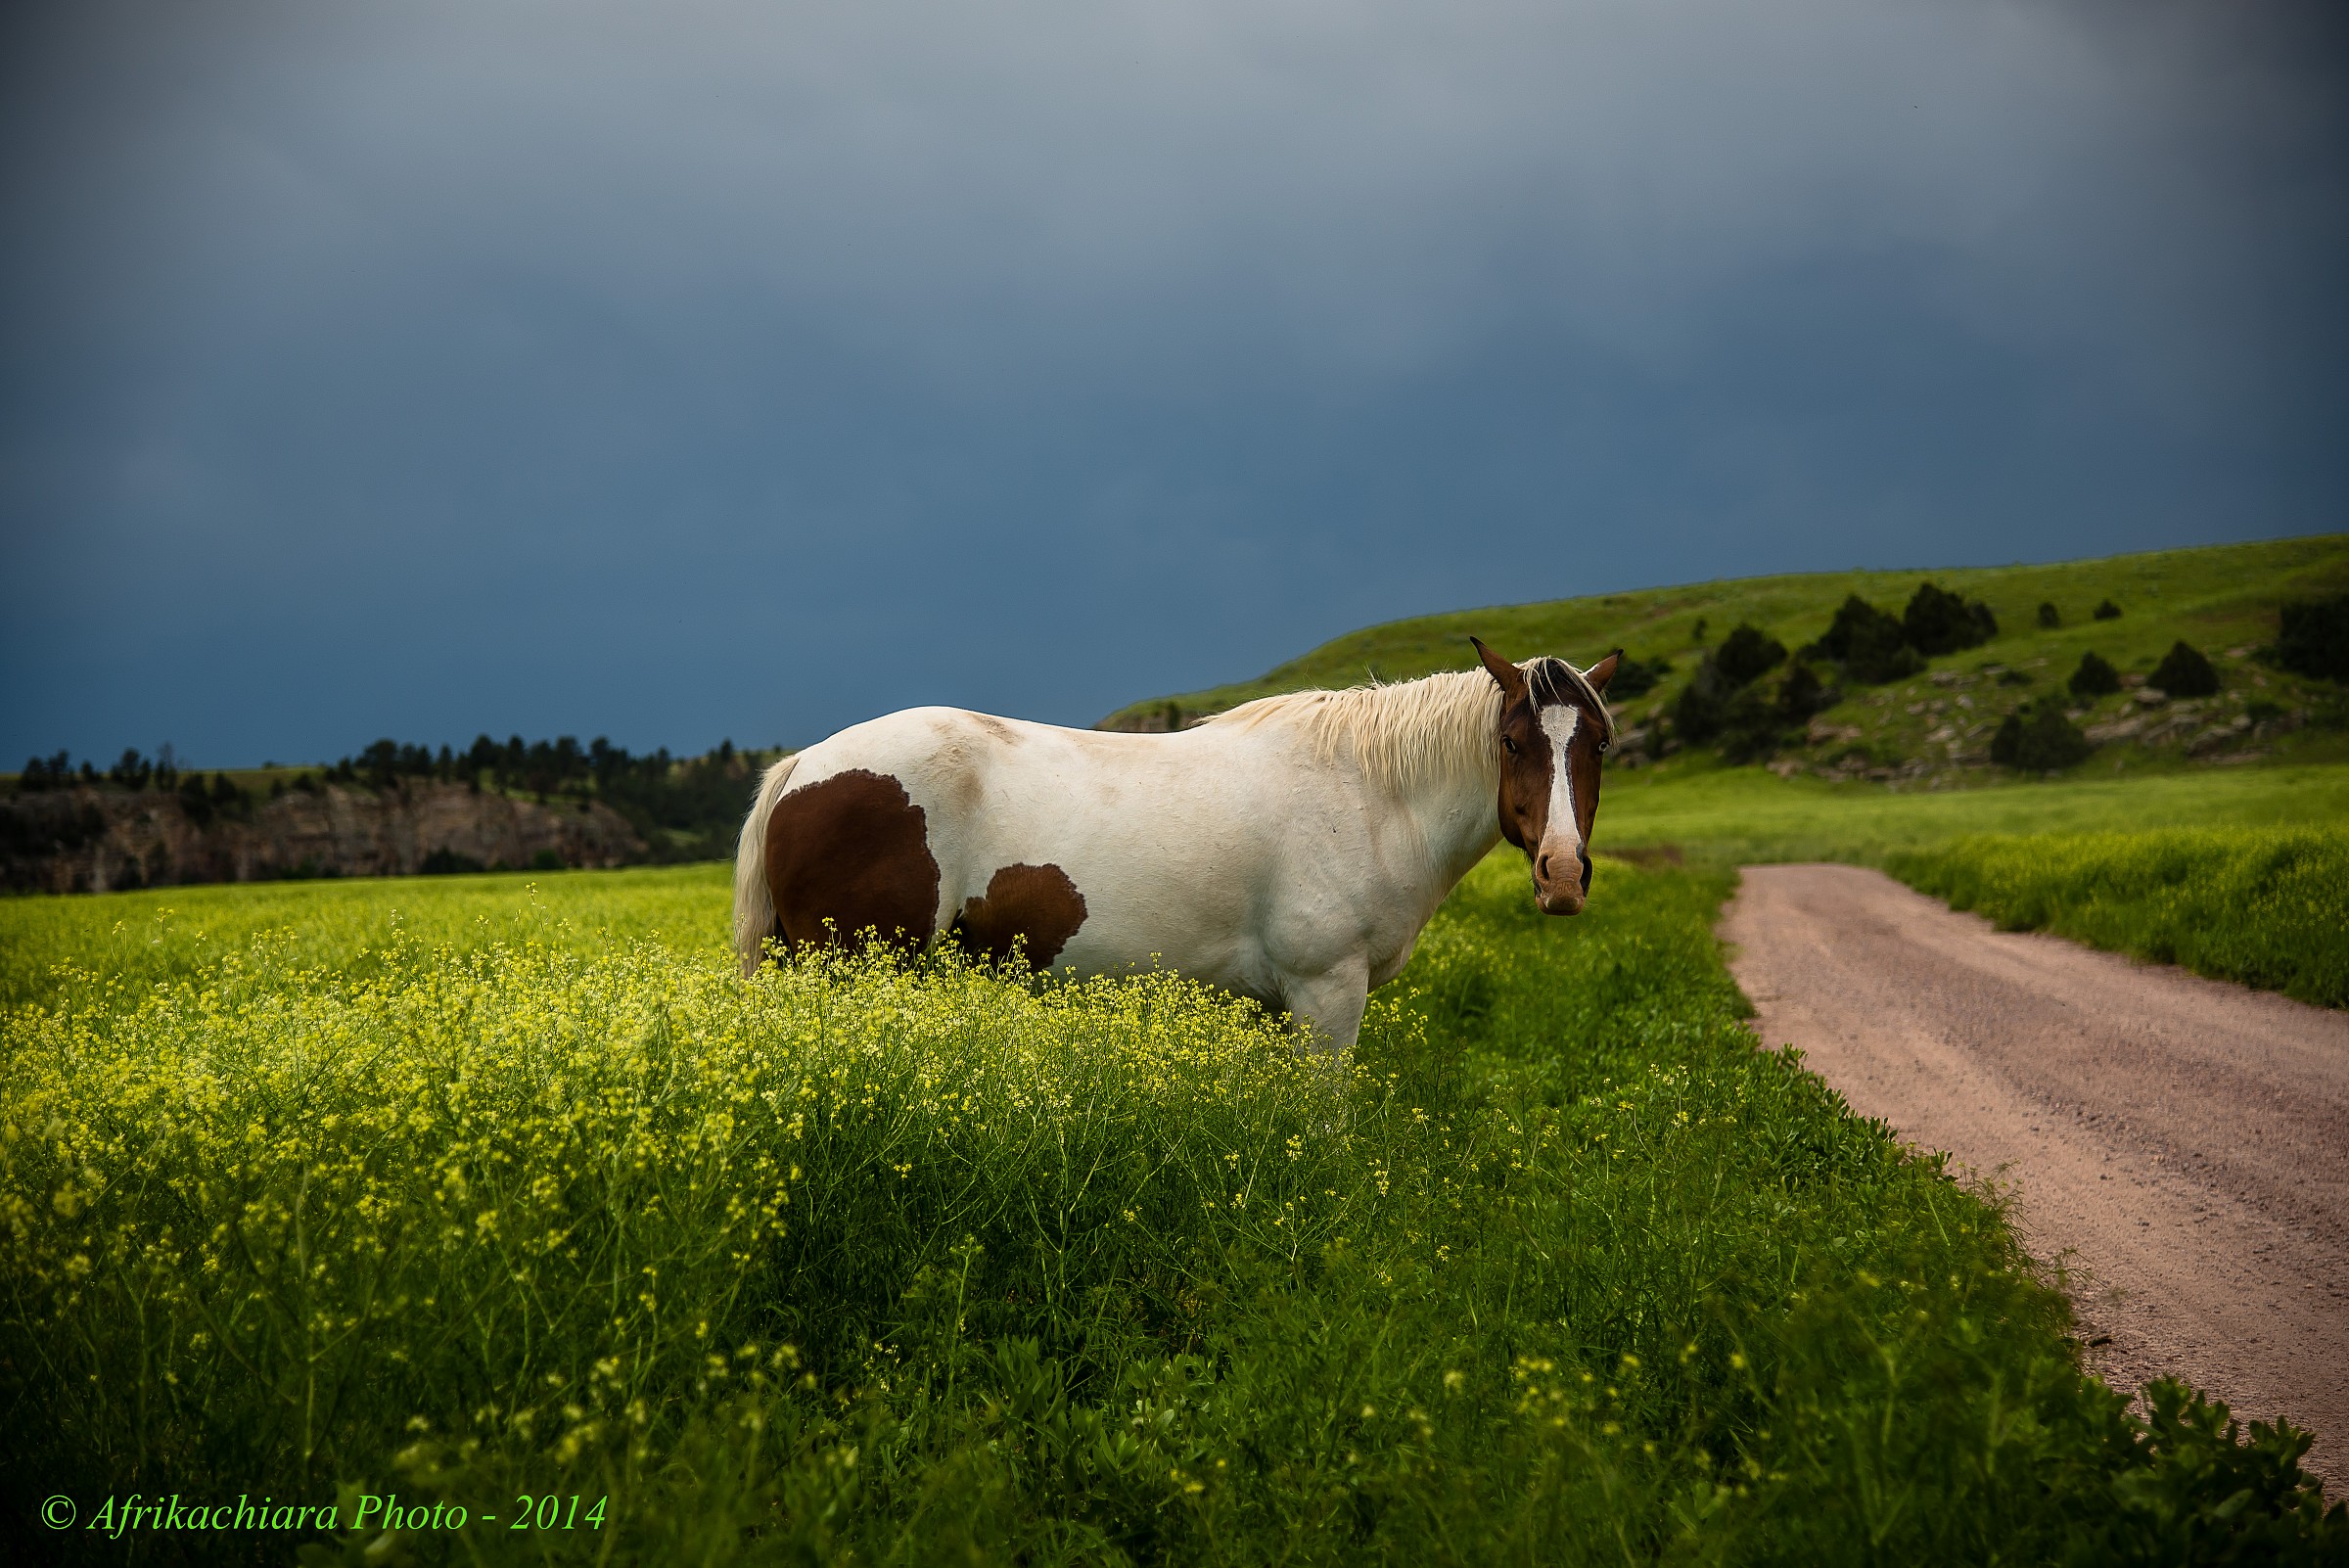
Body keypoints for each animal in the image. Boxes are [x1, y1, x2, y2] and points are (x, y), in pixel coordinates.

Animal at [733, 639, 1620, 1050]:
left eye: (1598, 746)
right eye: (1512, 742)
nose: (1562, 874)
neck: (1370, 793)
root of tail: (805, 765)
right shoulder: (1327, 995)